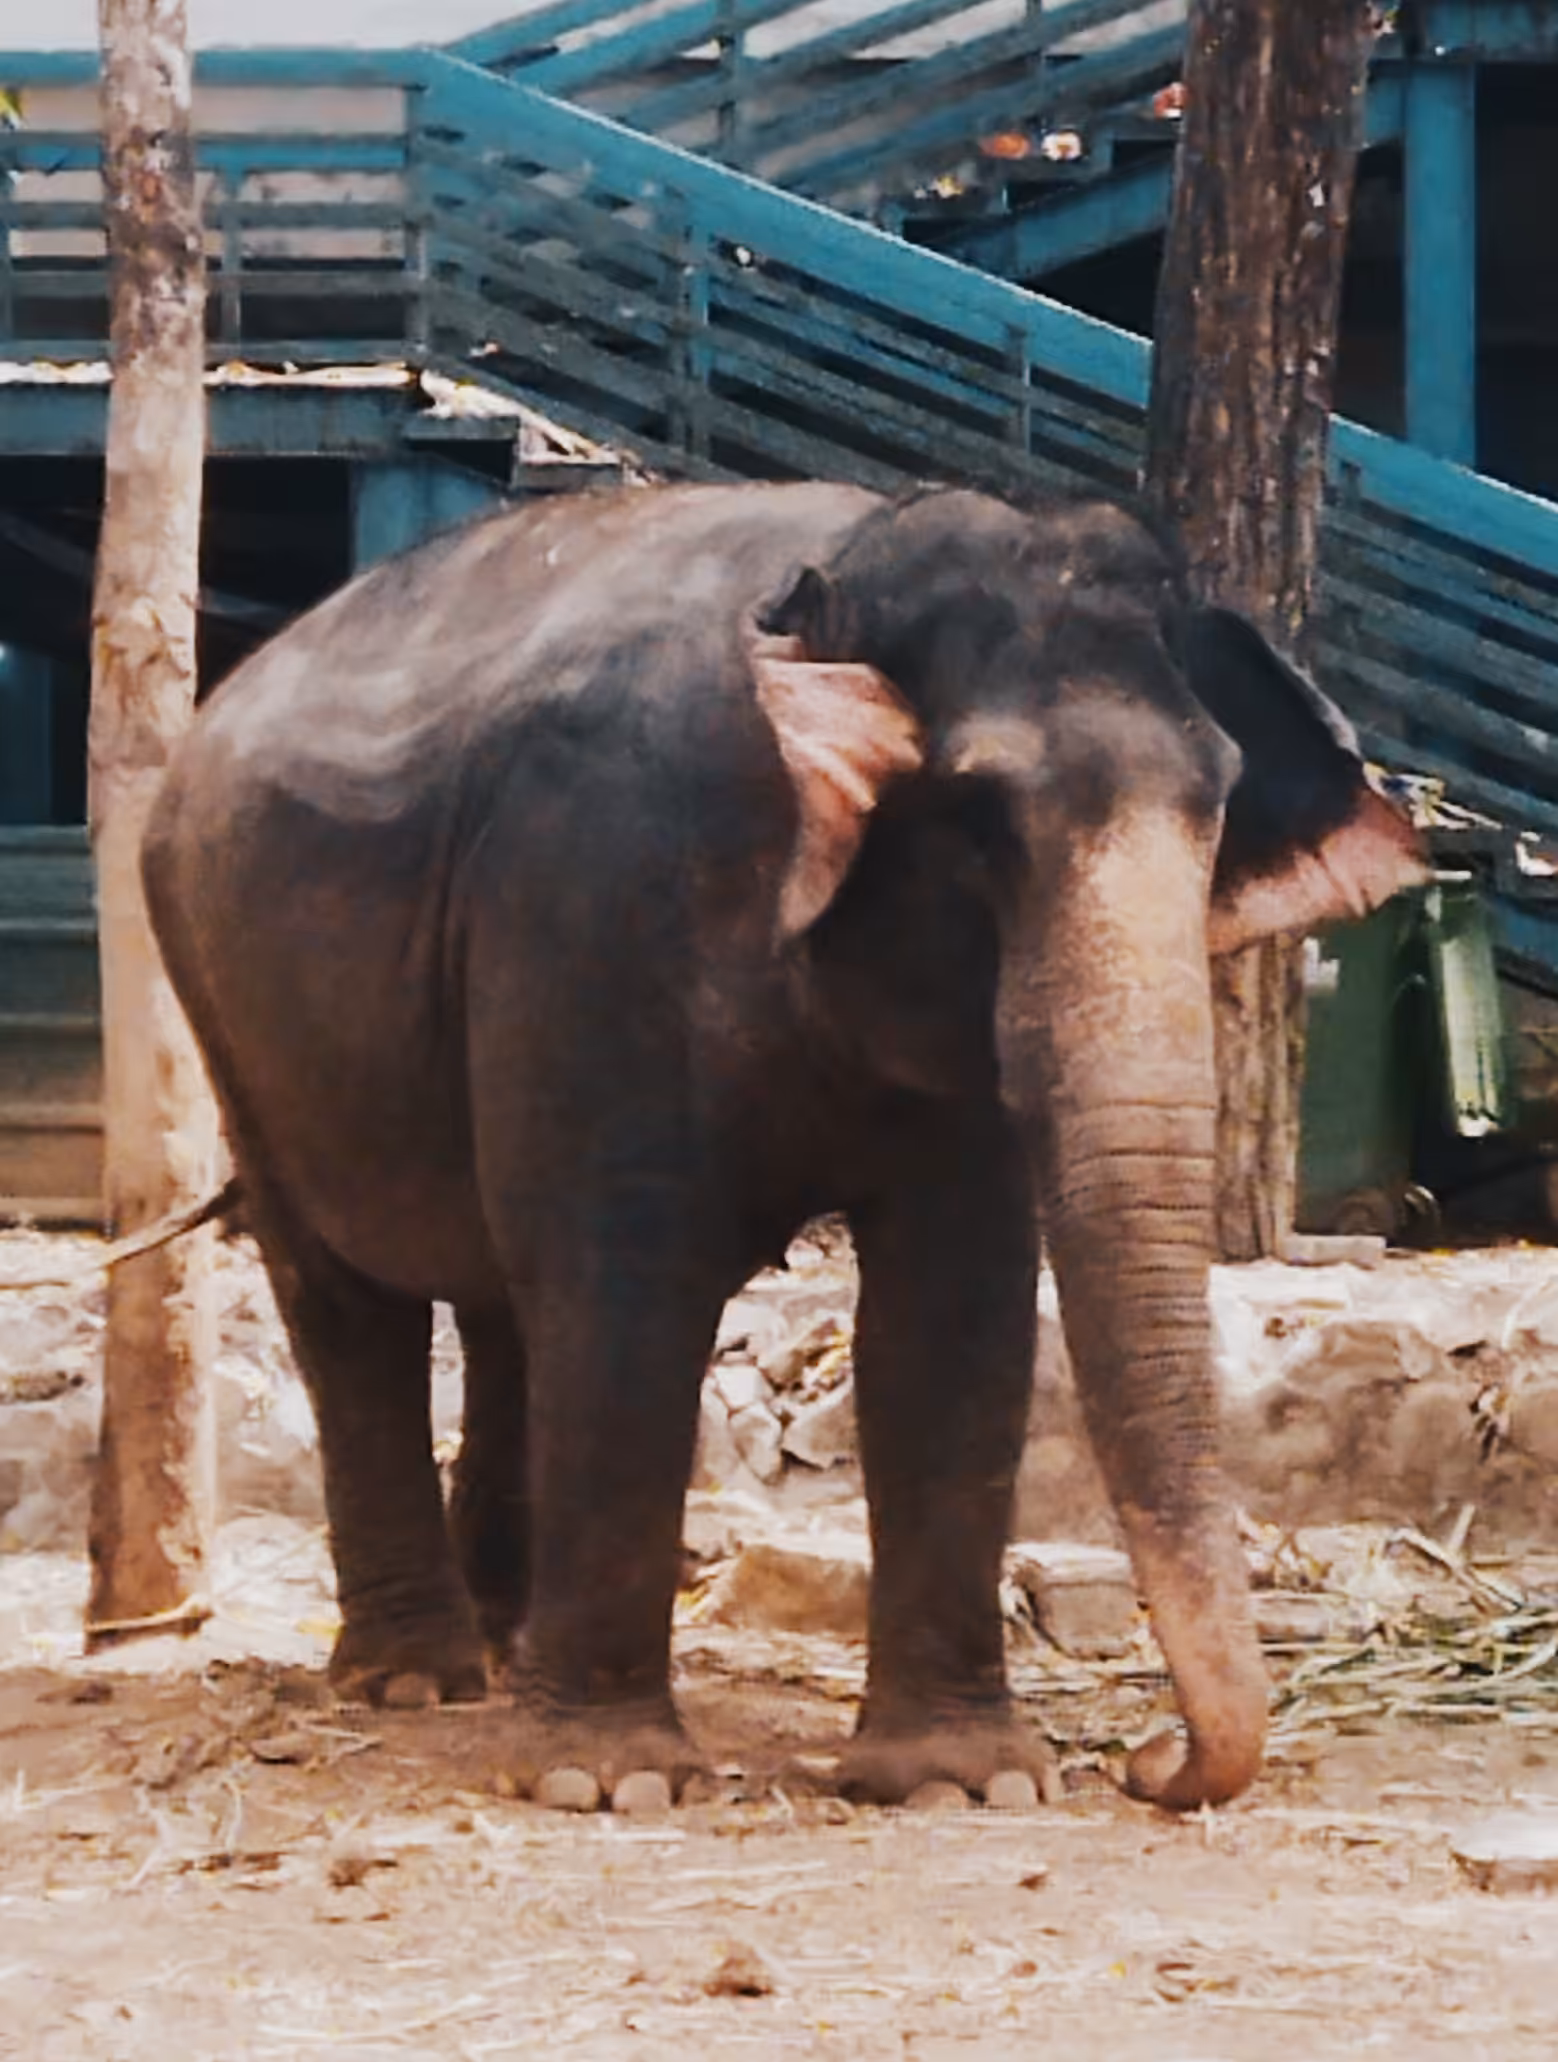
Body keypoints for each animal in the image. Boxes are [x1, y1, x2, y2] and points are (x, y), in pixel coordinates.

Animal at [142, 479, 1426, 1812]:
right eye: (977, 817)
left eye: (1218, 807)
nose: (1148, 1759)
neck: (849, 568)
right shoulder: (595, 889)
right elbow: (626, 1284)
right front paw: (611, 1784)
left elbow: (951, 1305)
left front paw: (957, 1782)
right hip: (221, 997)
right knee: (350, 1305)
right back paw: (414, 1680)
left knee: (500, 1303)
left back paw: (503, 1648)